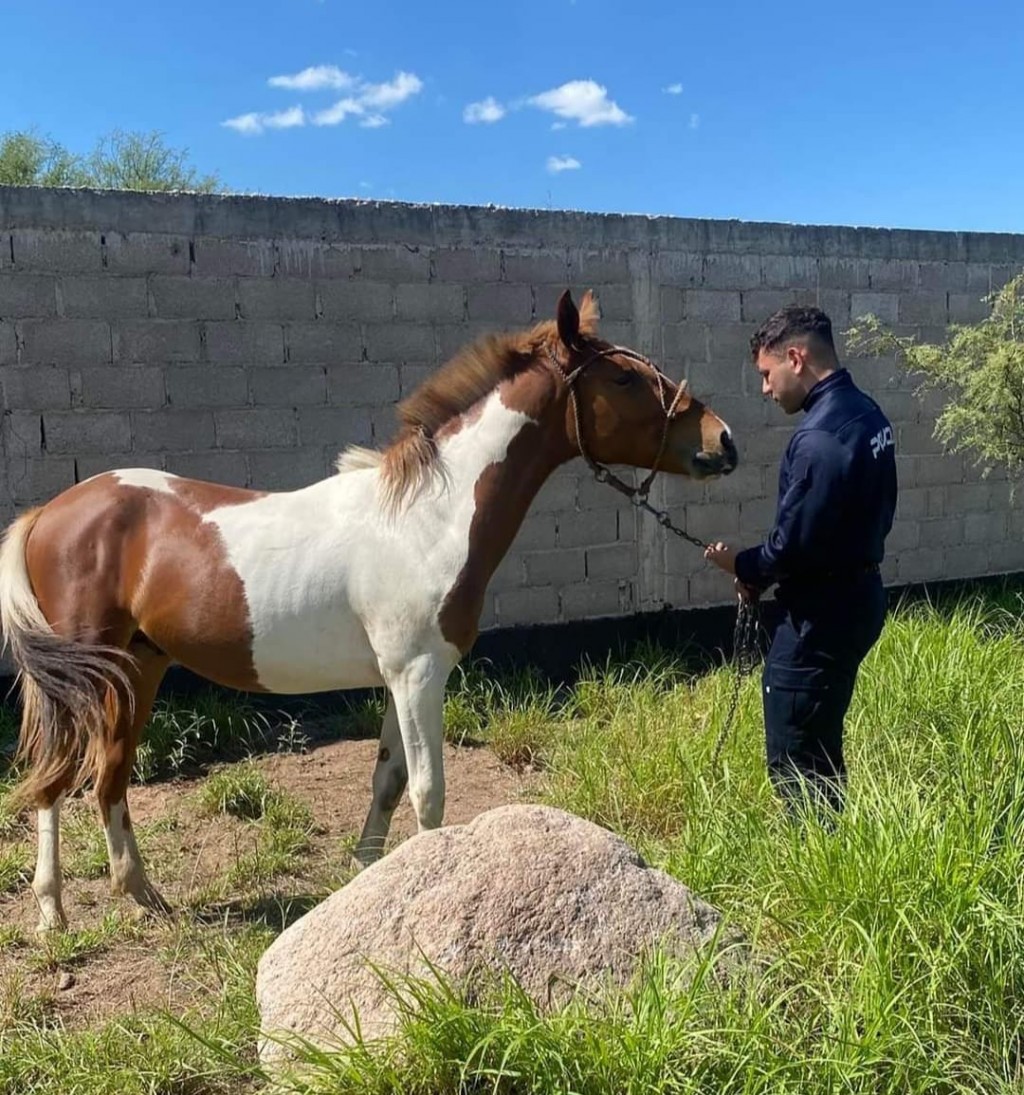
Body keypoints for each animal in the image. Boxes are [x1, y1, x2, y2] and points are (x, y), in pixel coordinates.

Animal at [0, 286, 735, 928]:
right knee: (53, 780)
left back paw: (144, 896)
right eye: (625, 379)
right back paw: (52, 913)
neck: (427, 517)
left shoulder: (401, 677)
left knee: (108, 775)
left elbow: (387, 781)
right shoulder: (417, 673)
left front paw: (368, 879)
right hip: (82, 677)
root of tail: (49, 514)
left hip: (139, 666)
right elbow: (428, 793)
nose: (723, 441)